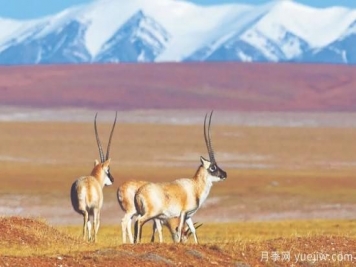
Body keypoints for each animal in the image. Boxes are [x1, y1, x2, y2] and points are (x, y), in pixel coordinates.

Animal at [70, 112, 117, 243]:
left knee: (86, 220)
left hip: (83, 208)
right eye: (108, 170)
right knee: (94, 221)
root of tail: (86, 186)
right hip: (95, 209)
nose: (112, 180)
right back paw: (93, 239)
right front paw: (93, 239)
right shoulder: (98, 209)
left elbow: (90, 224)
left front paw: (89, 238)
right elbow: (97, 223)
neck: (95, 177)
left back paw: (85, 238)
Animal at [134, 112, 228, 244]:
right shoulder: (182, 213)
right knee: (139, 222)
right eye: (213, 167)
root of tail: (139, 192)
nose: (224, 174)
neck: (195, 187)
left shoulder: (189, 216)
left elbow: (193, 230)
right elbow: (178, 231)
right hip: (151, 214)